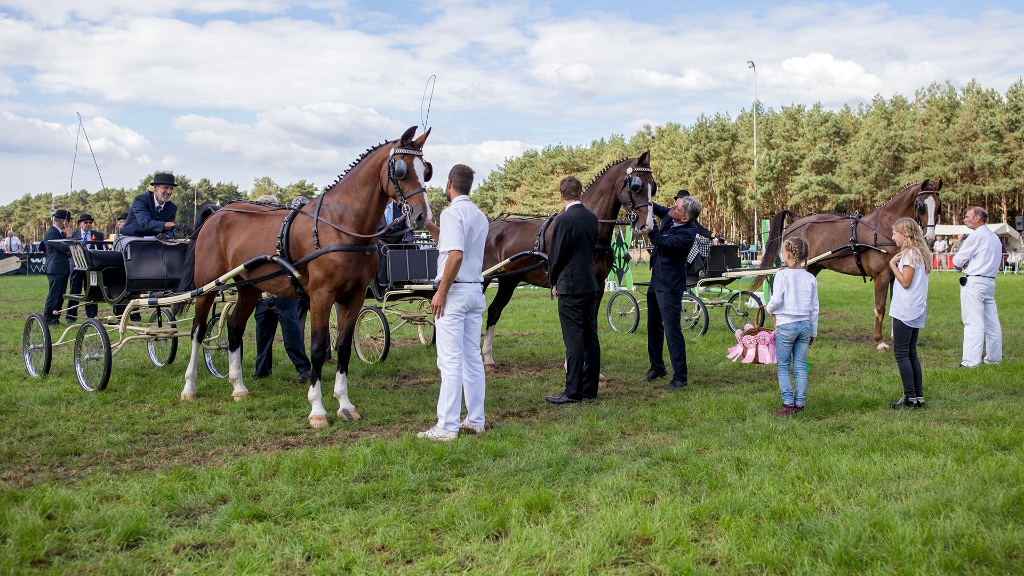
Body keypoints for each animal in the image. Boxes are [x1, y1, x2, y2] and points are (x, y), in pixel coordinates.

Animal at [177, 125, 432, 426]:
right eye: (401, 169)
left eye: (426, 169)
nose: (422, 217)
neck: (342, 225)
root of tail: (217, 212)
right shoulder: (321, 295)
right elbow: (318, 349)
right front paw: (317, 410)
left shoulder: (354, 297)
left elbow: (343, 346)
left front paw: (345, 404)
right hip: (206, 286)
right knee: (197, 330)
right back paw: (189, 387)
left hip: (249, 287)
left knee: (234, 326)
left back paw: (238, 387)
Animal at [479, 152, 655, 366]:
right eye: (636, 185)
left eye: (653, 186)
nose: (647, 225)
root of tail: (491, 224)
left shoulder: (597, 286)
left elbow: (591, 325)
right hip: (484, 278)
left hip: (508, 280)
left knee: (494, 310)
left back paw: (488, 357)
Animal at [761, 179, 942, 350]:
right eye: (920, 206)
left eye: (939, 207)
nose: (930, 238)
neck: (883, 229)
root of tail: (796, 220)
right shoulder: (881, 275)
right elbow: (880, 308)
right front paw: (880, 341)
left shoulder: (895, 276)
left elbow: (895, 303)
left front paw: (895, 335)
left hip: (811, 267)